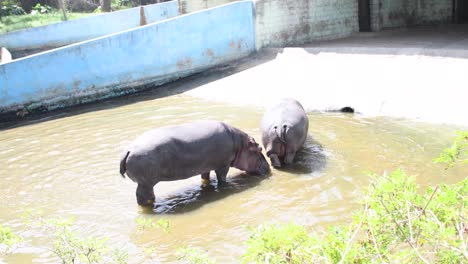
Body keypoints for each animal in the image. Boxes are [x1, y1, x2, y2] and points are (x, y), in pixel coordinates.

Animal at [120, 119, 268, 206]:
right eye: (259, 149)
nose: (269, 167)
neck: (239, 145)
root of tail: (128, 150)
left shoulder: (206, 166)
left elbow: (205, 178)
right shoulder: (223, 165)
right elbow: (222, 178)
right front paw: (225, 186)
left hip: (145, 183)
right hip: (146, 183)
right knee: (143, 196)